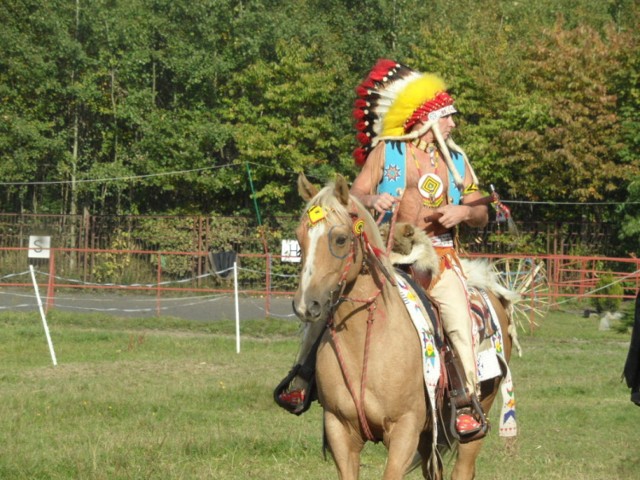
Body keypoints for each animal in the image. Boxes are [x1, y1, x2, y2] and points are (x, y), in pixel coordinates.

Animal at [292, 173, 516, 480]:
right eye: (299, 238)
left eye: (340, 239)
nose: (306, 305)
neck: (367, 341)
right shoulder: (339, 429)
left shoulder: (404, 430)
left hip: (478, 413)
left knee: (464, 467)